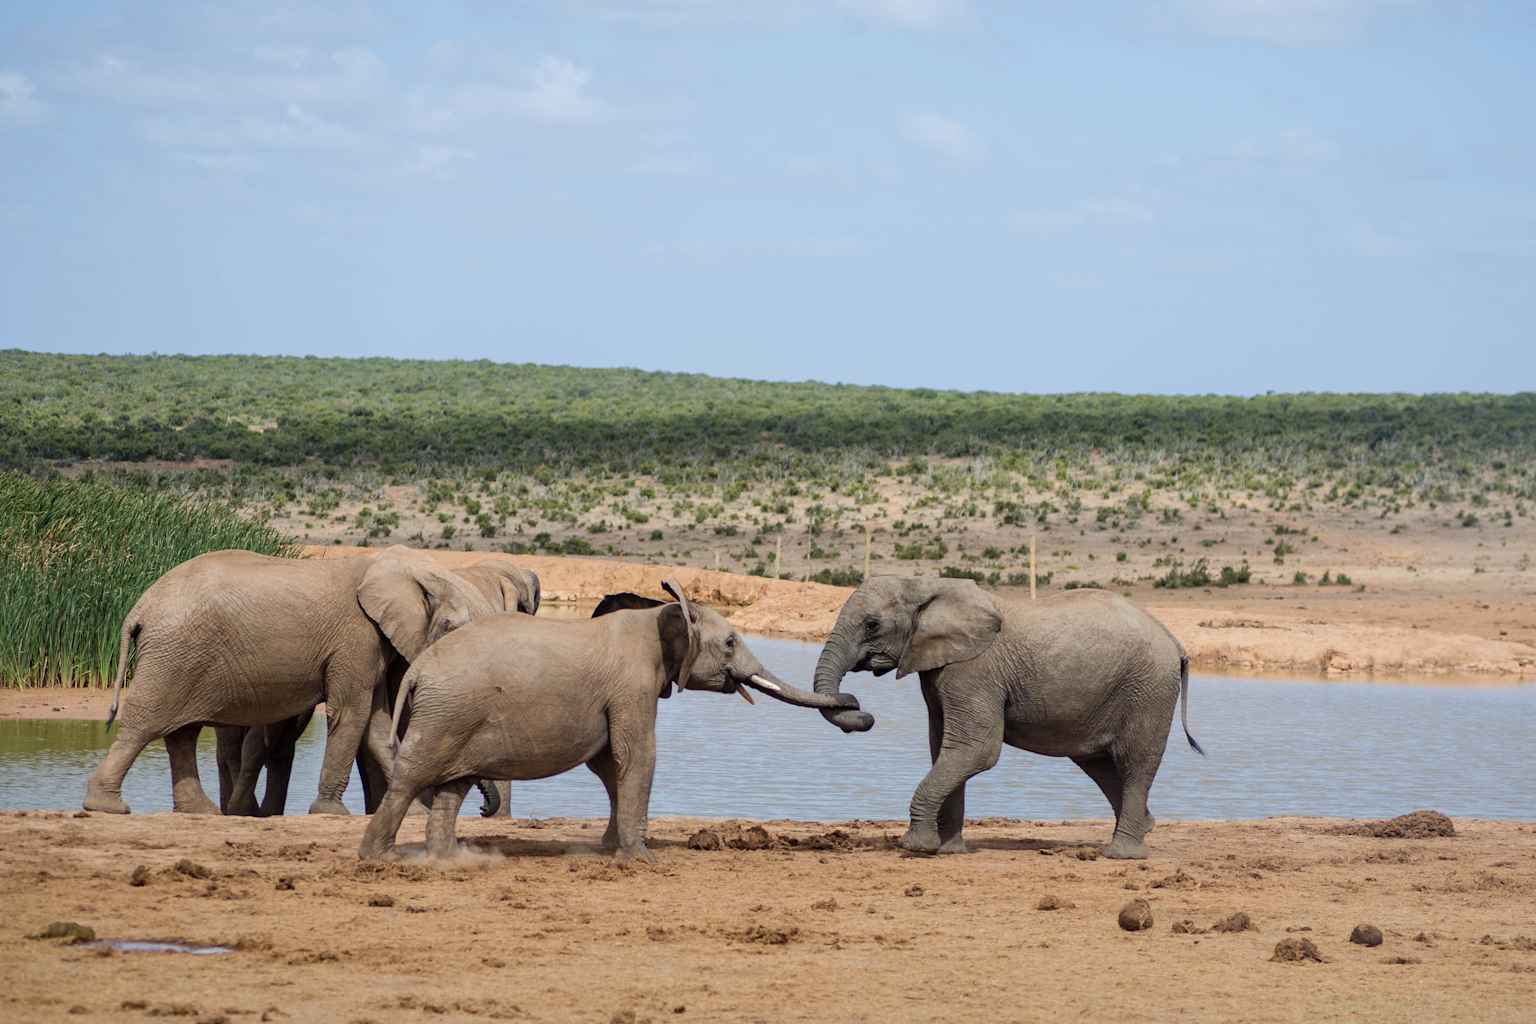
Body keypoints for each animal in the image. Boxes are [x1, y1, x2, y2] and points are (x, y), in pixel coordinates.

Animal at [357, 580, 863, 861]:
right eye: (731, 643)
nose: (858, 705)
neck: (660, 612)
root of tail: (419, 668)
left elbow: (609, 764)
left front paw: (609, 849)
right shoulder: (632, 685)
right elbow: (636, 755)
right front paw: (642, 860)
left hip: (458, 715)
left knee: (452, 788)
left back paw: (448, 859)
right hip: (446, 713)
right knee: (412, 779)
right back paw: (379, 859)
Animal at [811, 577, 1203, 859]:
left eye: (872, 624)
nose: (861, 711)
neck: (926, 584)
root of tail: (1175, 642)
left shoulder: (974, 669)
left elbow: (975, 749)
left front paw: (917, 847)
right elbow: (944, 748)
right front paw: (949, 851)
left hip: (1149, 688)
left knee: (1135, 762)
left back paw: (1121, 854)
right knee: (1099, 763)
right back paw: (1144, 828)